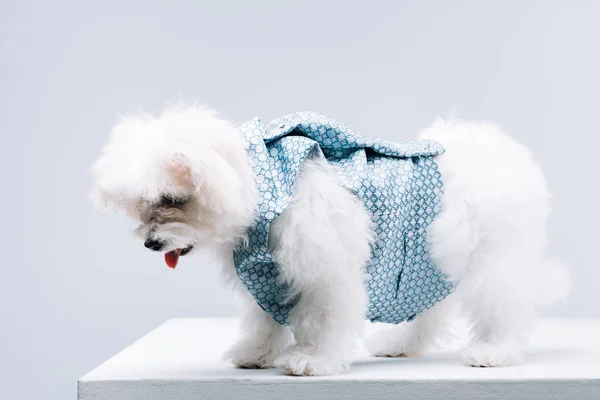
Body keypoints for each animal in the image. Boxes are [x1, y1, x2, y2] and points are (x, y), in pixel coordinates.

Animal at [91, 102, 568, 376]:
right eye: (140, 204)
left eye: (173, 199)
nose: (151, 243)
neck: (266, 187)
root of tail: (506, 152)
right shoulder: (269, 273)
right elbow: (263, 319)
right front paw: (256, 352)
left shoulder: (323, 266)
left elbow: (322, 318)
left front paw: (313, 359)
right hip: (426, 258)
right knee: (432, 309)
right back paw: (400, 345)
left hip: (490, 256)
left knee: (505, 303)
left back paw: (496, 351)